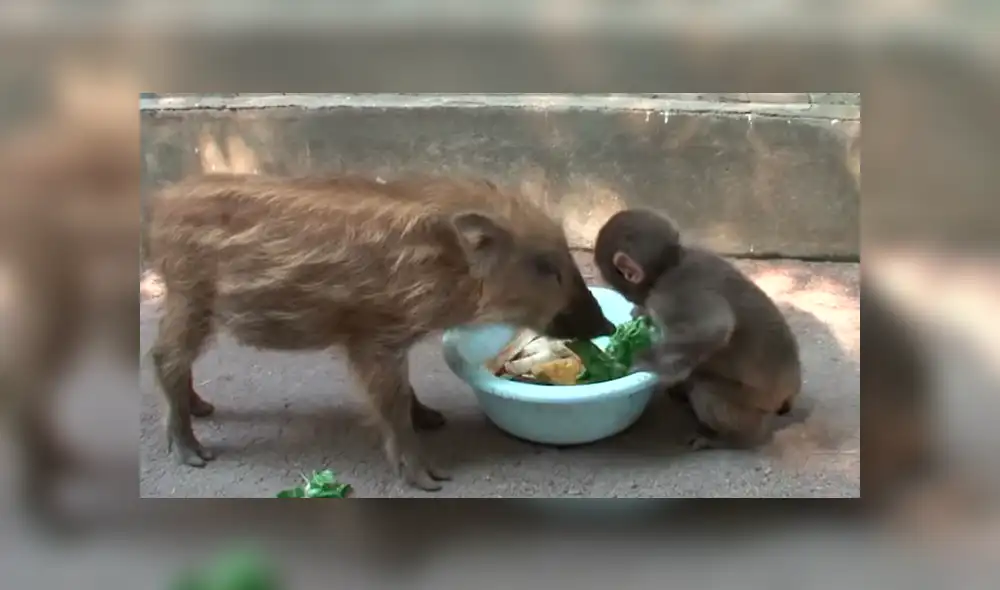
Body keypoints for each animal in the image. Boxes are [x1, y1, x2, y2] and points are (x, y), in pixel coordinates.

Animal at [594, 209, 802, 450]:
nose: (630, 298)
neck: (672, 264)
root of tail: (791, 389)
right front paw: (641, 316)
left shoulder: (669, 294)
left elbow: (714, 327)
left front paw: (644, 358)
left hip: (755, 400)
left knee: (705, 389)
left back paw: (729, 438)